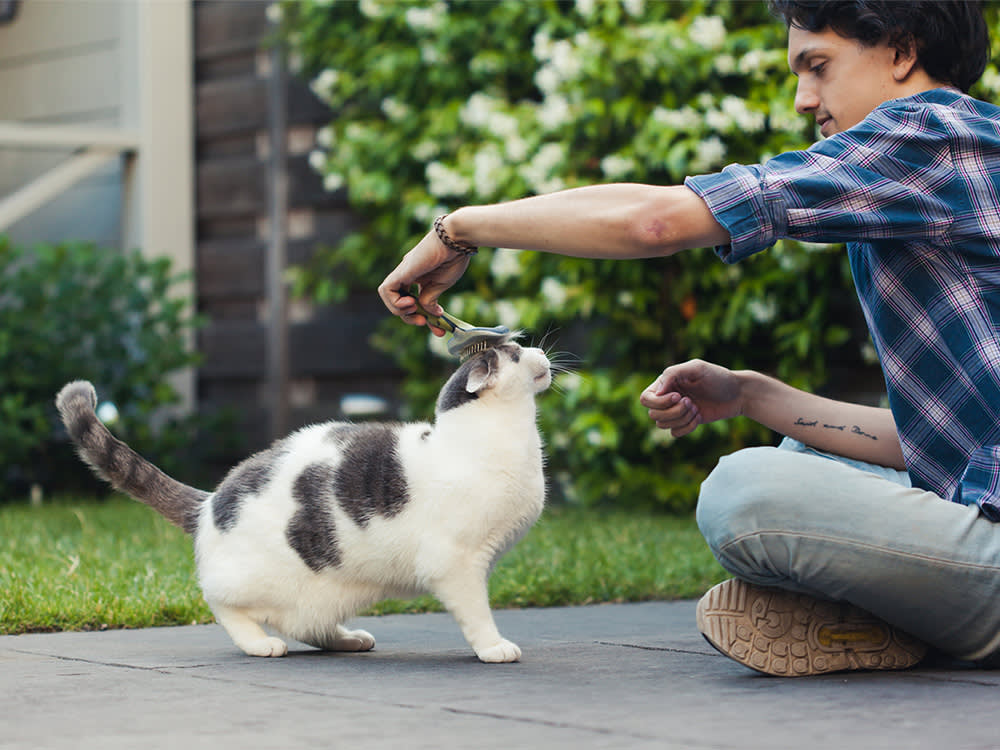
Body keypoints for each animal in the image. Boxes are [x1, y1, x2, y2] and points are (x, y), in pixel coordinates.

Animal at [54, 340, 552, 664]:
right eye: (513, 353)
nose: (540, 352)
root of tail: (210, 502)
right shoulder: (457, 564)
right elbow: (476, 613)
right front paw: (493, 647)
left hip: (328, 592)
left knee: (308, 626)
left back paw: (348, 639)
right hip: (252, 581)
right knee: (222, 602)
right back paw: (260, 644)